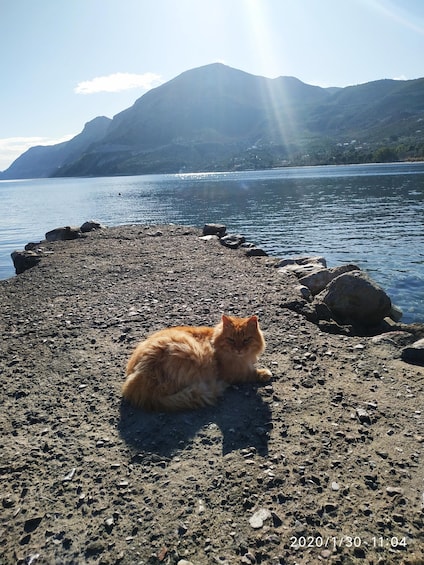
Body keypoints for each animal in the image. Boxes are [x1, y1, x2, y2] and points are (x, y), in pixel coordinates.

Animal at [121, 312, 272, 410]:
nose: (239, 349)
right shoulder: (232, 373)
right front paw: (264, 373)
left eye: (246, 340)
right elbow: (250, 373)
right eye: (231, 340)